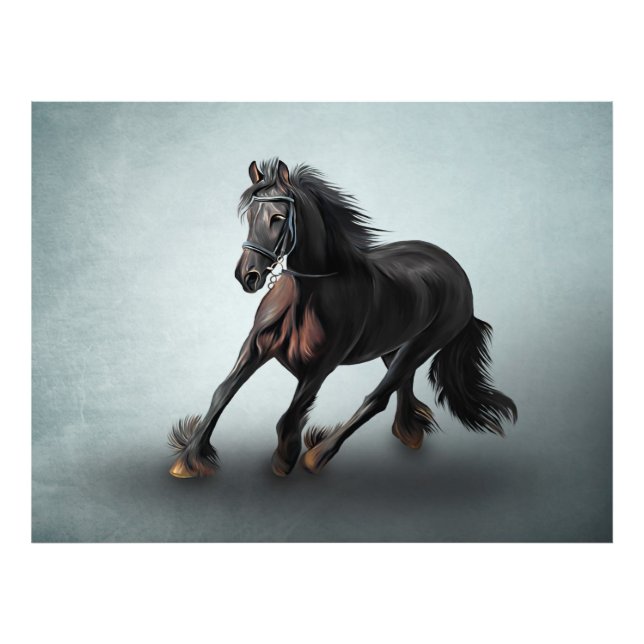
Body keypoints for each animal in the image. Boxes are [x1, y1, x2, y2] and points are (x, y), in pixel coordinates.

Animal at [168, 159, 517, 478]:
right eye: (250, 216)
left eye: (278, 217)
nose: (248, 276)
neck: (308, 292)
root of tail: (457, 272)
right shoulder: (255, 348)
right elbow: (222, 393)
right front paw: (188, 460)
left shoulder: (321, 366)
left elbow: (291, 414)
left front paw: (285, 458)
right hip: (393, 347)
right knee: (402, 384)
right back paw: (409, 431)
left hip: (422, 345)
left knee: (378, 397)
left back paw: (319, 455)